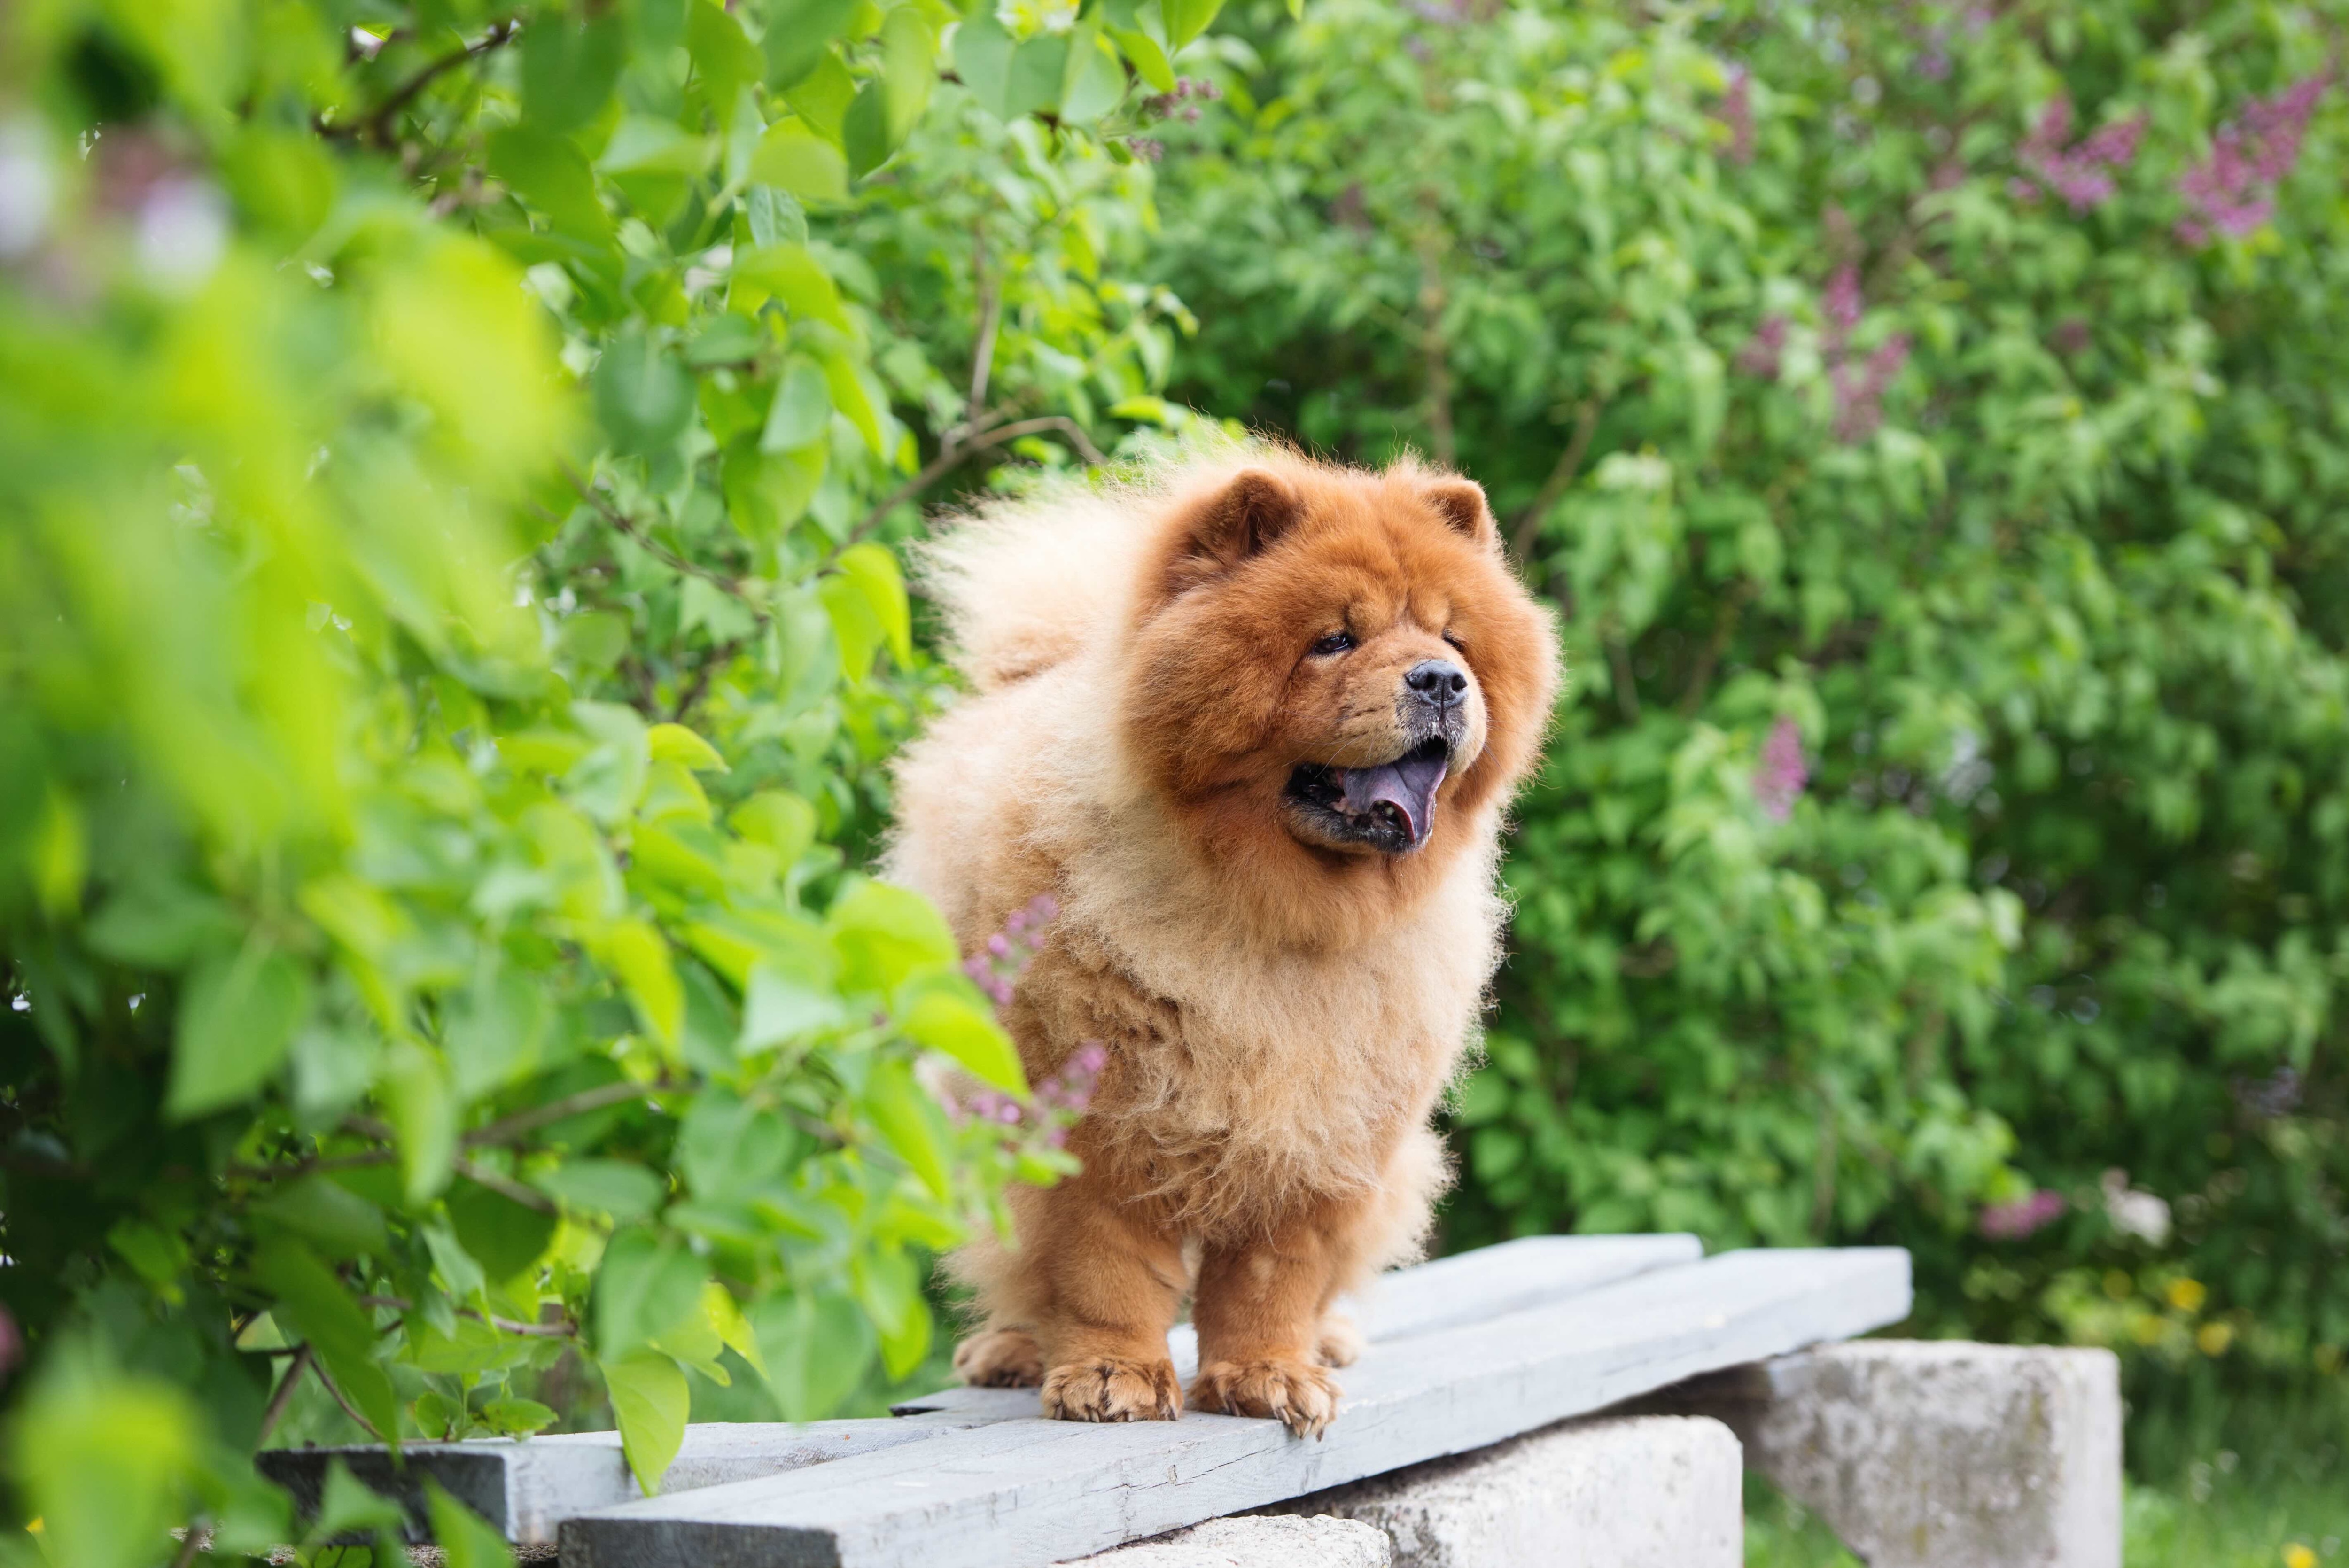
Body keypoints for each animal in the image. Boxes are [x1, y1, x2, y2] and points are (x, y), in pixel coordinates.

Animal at [883, 443, 1560, 1436]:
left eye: (1454, 639)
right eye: (1335, 640)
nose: (1439, 680)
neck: (1277, 912)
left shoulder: (1324, 1130)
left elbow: (1273, 1279)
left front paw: (1271, 1376)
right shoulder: (1098, 1116)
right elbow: (1103, 1263)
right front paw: (1111, 1377)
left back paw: (1329, 1342)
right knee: (1017, 1268)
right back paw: (1009, 1350)